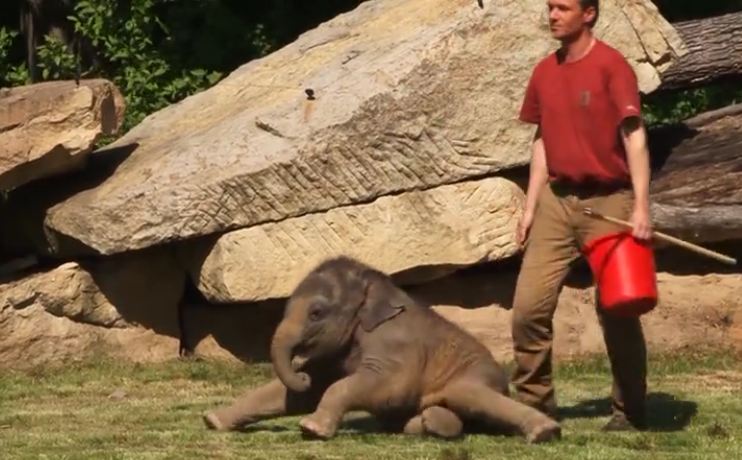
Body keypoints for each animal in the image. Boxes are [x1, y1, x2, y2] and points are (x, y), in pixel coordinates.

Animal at [201, 256, 560, 440]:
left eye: (316, 313)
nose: (299, 370)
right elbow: (304, 392)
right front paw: (213, 420)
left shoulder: (395, 343)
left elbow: (386, 388)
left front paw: (311, 429)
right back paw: (427, 424)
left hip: (479, 376)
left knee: (468, 394)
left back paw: (545, 431)